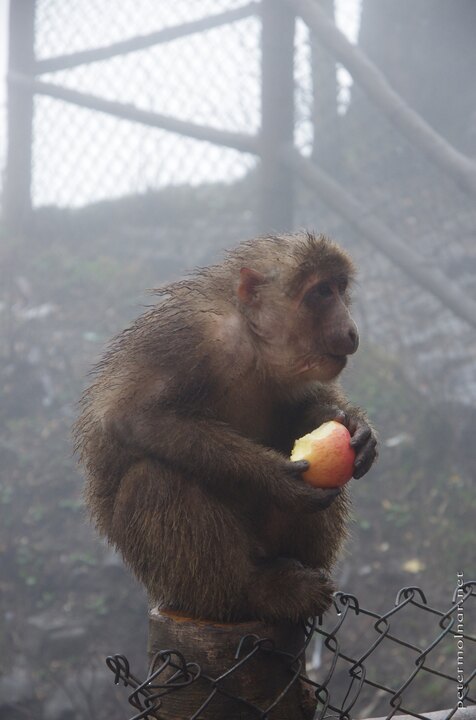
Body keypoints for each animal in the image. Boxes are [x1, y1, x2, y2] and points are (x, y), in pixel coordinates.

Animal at [74, 232, 378, 624]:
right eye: (321, 292)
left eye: (340, 289)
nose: (351, 331)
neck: (253, 342)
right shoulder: (188, 340)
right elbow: (134, 417)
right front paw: (277, 478)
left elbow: (300, 410)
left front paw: (352, 423)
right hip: (171, 579)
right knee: (153, 476)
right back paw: (257, 592)